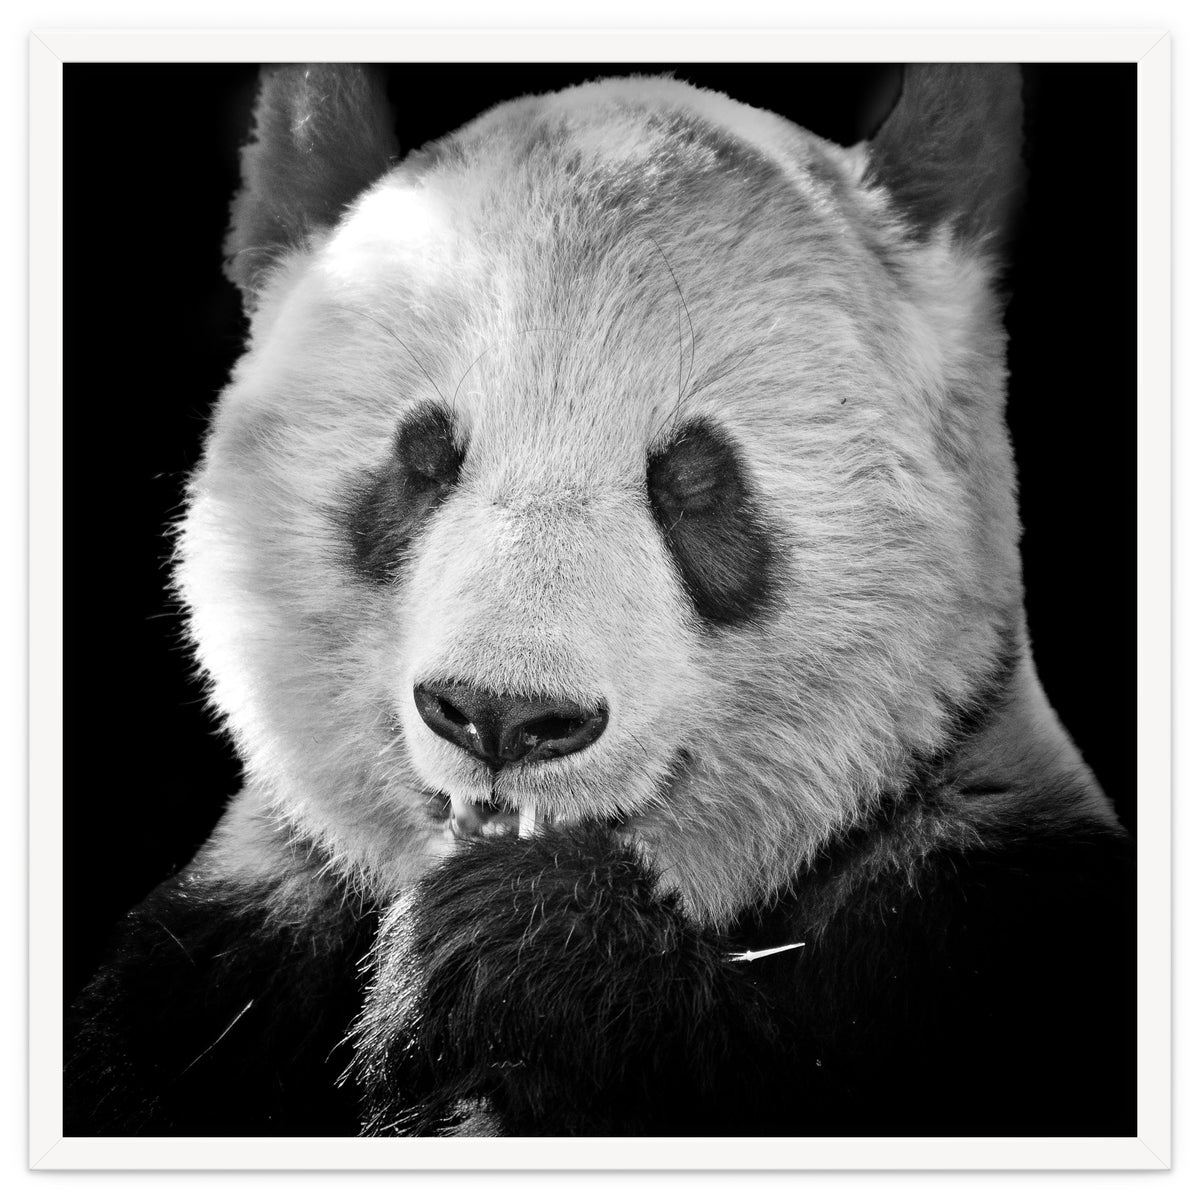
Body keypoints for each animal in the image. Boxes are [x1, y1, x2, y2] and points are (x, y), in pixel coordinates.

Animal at [65, 63, 1135, 1138]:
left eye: (694, 481)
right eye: (423, 459)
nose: (502, 715)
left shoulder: (982, 915)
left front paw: (523, 949)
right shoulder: (222, 959)